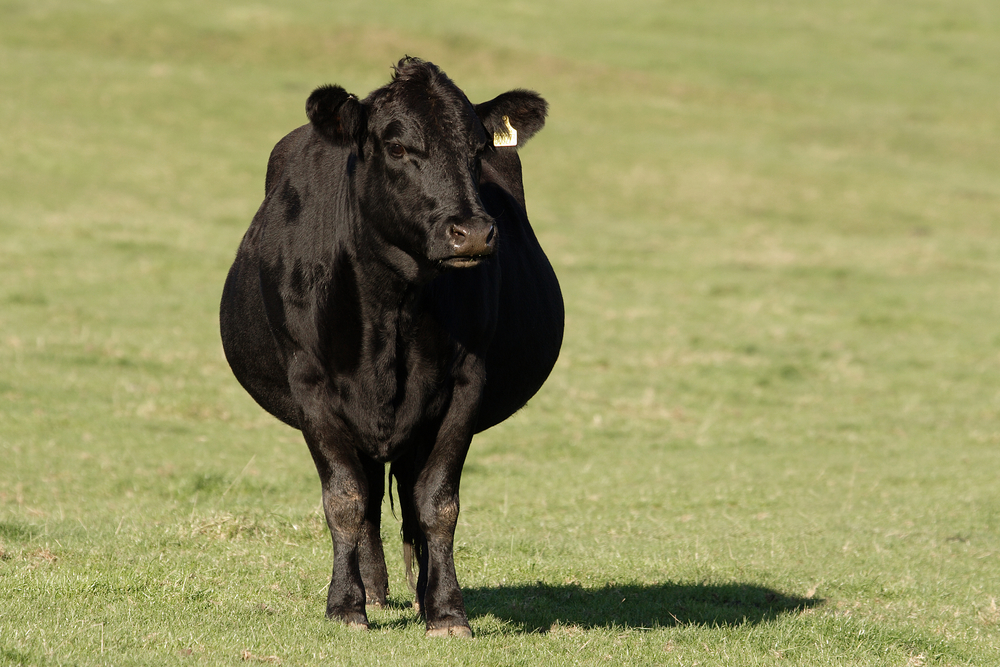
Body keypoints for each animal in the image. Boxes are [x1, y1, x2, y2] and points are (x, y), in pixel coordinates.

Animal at [221, 58, 564, 636]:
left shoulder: (465, 383)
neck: (394, 304)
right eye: (398, 147)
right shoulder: (311, 385)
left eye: (478, 149)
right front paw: (345, 606)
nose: (472, 232)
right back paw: (375, 592)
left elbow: (438, 501)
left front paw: (446, 611)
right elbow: (345, 498)